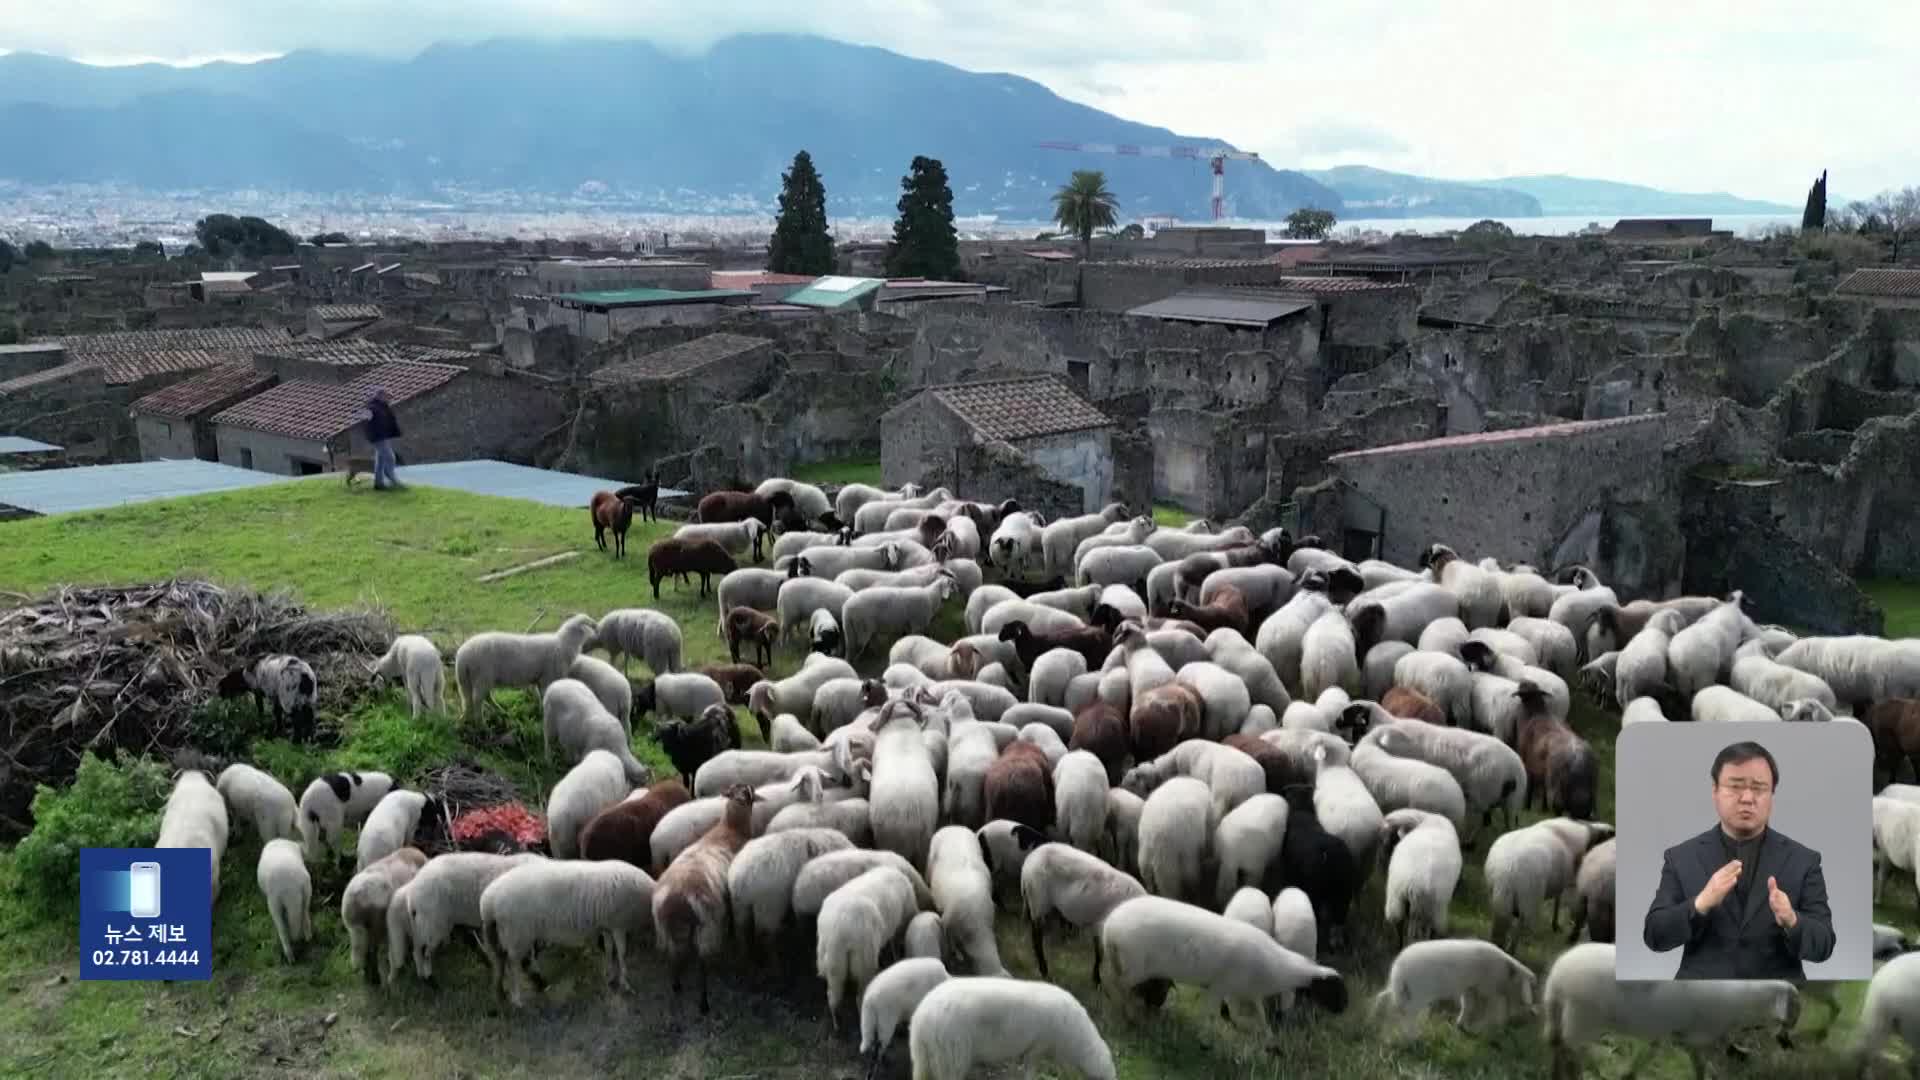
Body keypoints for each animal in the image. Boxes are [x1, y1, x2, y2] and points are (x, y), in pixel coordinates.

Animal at [453, 611, 595, 718]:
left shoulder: (539, 679)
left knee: (480, 698)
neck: (563, 644)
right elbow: (544, 695)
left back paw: (498, 711)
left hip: (472, 680)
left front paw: (539, 709)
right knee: (477, 700)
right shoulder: (547, 677)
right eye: (589, 624)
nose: (596, 630)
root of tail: (462, 655)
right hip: (482, 676)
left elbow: (540, 695)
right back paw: (481, 723)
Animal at [478, 857, 652, 999]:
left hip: (512, 935)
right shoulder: (618, 925)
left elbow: (609, 948)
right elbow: (621, 953)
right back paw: (517, 998)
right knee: (513, 964)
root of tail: (488, 901)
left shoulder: (607, 925)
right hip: (517, 935)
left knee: (503, 960)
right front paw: (625, 983)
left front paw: (610, 974)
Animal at [906, 976, 1121, 1076]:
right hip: (951, 1058)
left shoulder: (1031, 1050)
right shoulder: (1037, 1047)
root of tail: (920, 1020)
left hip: (926, 1059)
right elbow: (1030, 1070)